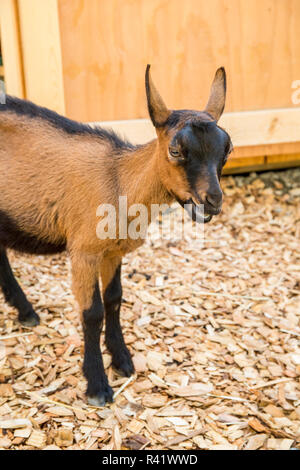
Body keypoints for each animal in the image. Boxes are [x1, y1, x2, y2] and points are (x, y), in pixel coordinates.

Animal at [0, 66, 232, 408]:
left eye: (227, 150)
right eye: (175, 150)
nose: (212, 201)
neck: (119, 180)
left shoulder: (113, 251)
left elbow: (114, 299)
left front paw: (122, 359)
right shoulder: (84, 251)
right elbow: (92, 312)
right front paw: (97, 384)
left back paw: (25, 311)